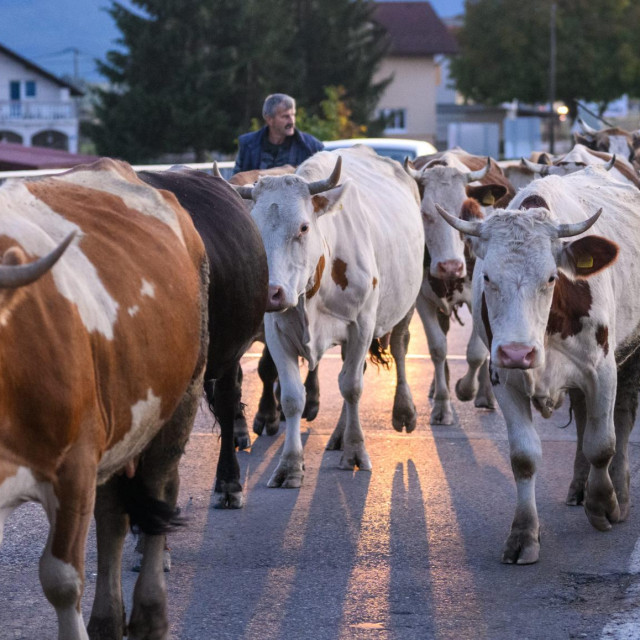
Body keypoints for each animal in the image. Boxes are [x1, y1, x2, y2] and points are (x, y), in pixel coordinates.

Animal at [0, 160, 208, 640]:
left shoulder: (74, 464)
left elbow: (62, 580)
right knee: (113, 515)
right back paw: (108, 618)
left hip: (178, 403)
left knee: (158, 492)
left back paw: (150, 614)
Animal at [232, 145, 422, 484]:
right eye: (254, 228)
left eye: (303, 227)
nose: (271, 292)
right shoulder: (276, 333)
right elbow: (293, 398)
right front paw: (290, 465)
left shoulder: (362, 326)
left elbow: (352, 387)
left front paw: (356, 452)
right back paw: (338, 435)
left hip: (406, 305)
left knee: (399, 348)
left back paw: (403, 411)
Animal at [404, 148, 516, 422]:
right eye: (425, 214)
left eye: (465, 214)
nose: (451, 267)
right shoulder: (423, 299)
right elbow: (437, 348)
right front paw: (442, 406)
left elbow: (476, 352)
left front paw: (466, 389)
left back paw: (485, 394)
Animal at [438, 165, 640, 564]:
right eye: (487, 277)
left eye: (550, 277)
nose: (519, 352)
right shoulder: (503, 377)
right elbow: (524, 458)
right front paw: (523, 535)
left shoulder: (602, 371)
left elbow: (602, 443)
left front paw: (603, 504)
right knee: (582, 417)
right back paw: (578, 486)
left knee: (622, 420)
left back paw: (620, 494)